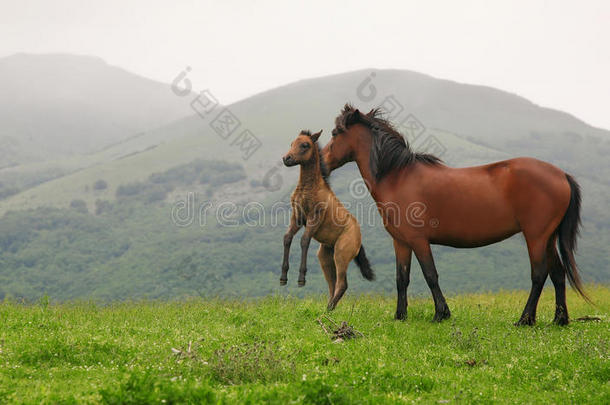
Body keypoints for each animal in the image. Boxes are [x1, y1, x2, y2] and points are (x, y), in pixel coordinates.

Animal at [280, 129, 372, 310]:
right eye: (292, 143)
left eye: (305, 145)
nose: (287, 159)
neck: (309, 187)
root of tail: (359, 240)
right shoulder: (297, 216)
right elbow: (287, 238)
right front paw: (283, 277)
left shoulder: (314, 216)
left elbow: (304, 240)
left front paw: (301, 280)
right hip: (325, 255)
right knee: (332, 284)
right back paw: (328, 310)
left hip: (341, 254)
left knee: (342, 284)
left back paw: (329, 309)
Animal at [320, 104, 588, 326]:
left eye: (335, 133)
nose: (321, 164)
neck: (397, 177)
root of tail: (562, 174)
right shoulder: (401, 242)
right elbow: (401, 278)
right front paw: (400, 315)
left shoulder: (419, 241)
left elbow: (430, 275)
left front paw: (441, 313)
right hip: (548, 238)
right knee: (558, 273)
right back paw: (559, 319)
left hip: (536, 237)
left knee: (539, 274)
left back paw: (525, 319)